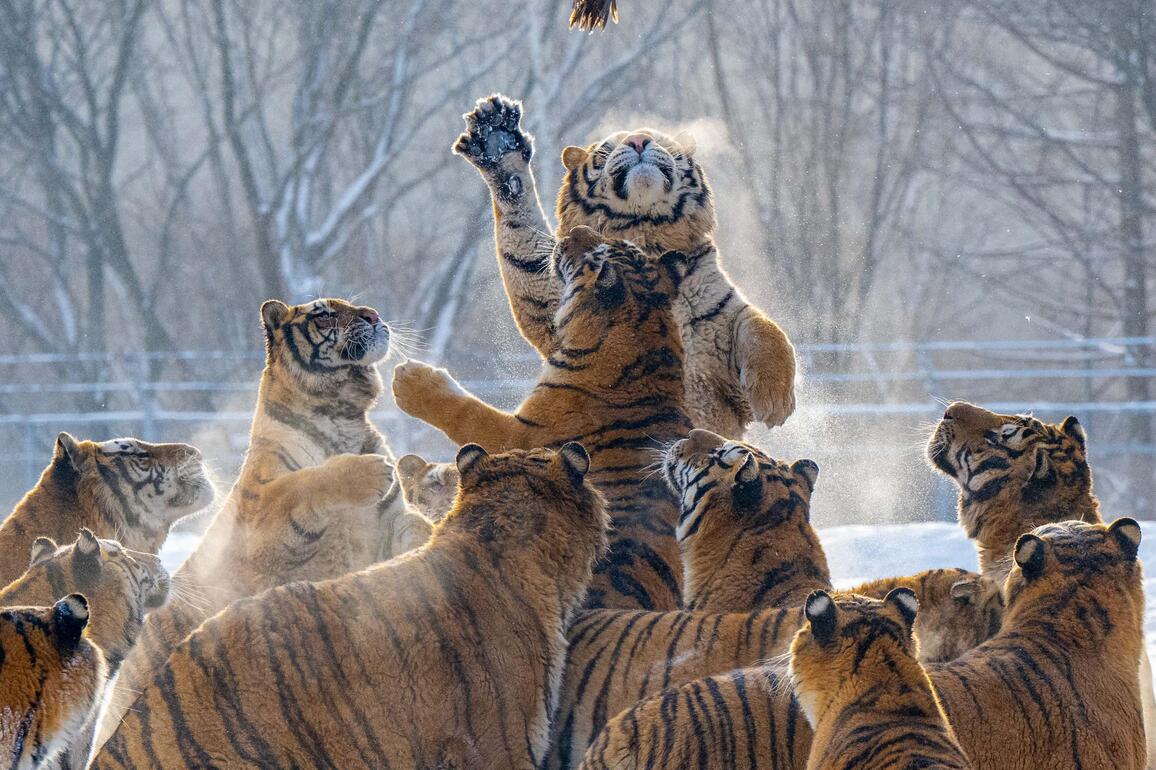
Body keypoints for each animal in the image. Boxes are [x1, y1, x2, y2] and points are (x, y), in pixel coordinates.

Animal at [99, 297, 409, 747]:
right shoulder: (263, 517)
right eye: (324, 313)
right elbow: (305, 482)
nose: (373, 315)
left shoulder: (393, 526)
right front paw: (370, 470)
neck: (342, 414)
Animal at [393, 226, 692, 611]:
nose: (575, 230)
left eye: (594, 254)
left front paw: (411, 380)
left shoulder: (519, 435)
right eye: (617, 244)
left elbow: (465, 411)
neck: (650, 336)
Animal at [453, 93, 796, 437]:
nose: (638, 140)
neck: (644, 230)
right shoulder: (555, 304)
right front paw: (496, 140)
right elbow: (524, 245)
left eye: (659, 140)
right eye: (607, 149)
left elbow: (766, 330)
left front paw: (774, 401)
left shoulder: (722, 312)